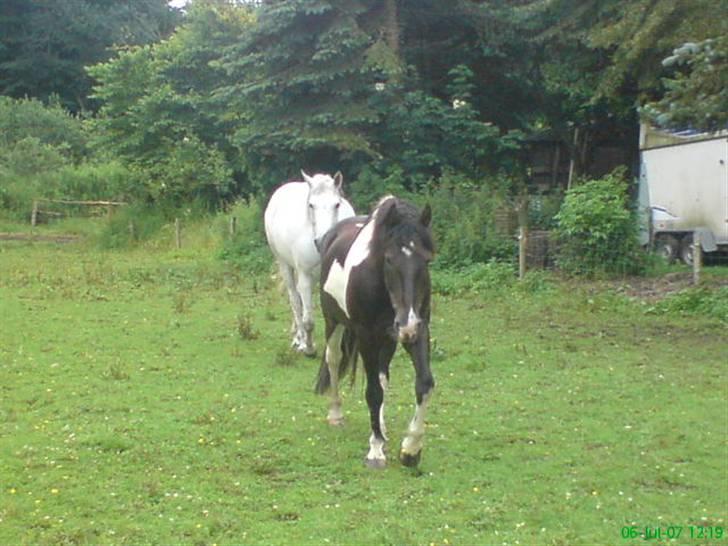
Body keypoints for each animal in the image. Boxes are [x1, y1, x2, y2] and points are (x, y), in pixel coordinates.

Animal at [264, 172, 356, 354]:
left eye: (337, 204)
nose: (321, 240)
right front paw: (309, 348)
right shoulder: (305, 275)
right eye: (311, 205)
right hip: (285, 265)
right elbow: (308, 320)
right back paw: (299, 340)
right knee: (295, 300)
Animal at [312, 193, 432, 466]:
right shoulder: (366, 335)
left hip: (388, 338)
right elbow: (373, 392)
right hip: (333, 323)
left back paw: (382, 427)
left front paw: (411, 449)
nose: (406, 322)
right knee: (333, 359)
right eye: (389, 259)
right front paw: (375, 450)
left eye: (426, 259)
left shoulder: (418, 330)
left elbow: (424, 383)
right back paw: (336, 413)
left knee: (382, 374)